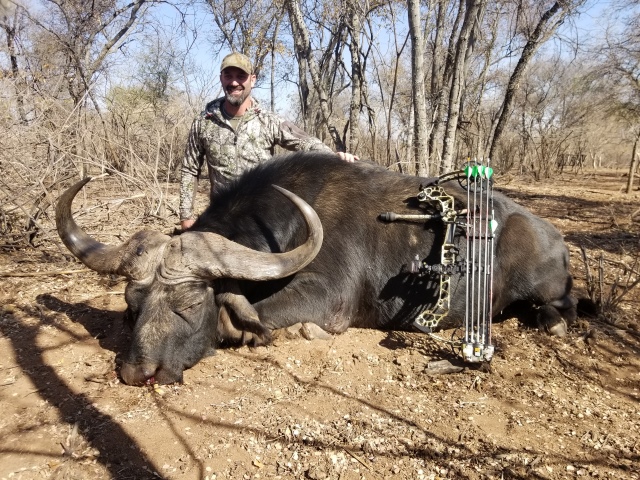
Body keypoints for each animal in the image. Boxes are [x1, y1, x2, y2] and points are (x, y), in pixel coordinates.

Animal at [56, 153, 576, 385]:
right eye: (132, 305)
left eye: (187, 303)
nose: (136, 373)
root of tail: (552, 235)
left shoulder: (328, 297)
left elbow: (245, 316)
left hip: (545, 288)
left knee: (562, 306)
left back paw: (555, 324)